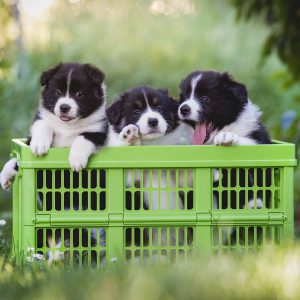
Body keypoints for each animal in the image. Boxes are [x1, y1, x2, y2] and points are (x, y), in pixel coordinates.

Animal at [0, 62, 108, 190]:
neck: (68, 126)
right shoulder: (42, 117)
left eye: (79, 94)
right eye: (58, 92)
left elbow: (83, 138)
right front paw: (39, 145)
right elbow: (43, 124)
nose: (64, 107)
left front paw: (76, 159)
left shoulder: (97, 130)